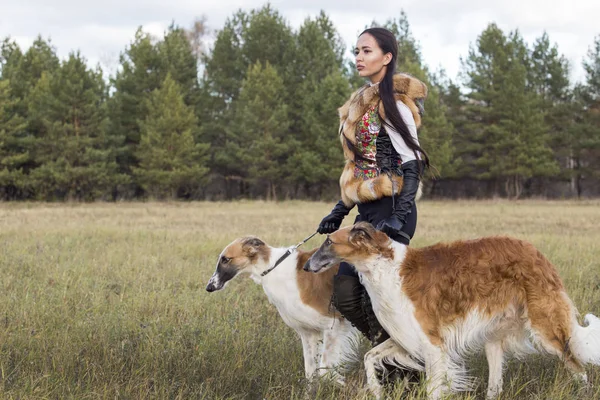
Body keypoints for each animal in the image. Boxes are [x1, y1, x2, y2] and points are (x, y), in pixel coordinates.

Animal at [204, 236, 358, 382]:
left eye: (226, 259)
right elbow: (310, 372)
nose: (209, 287)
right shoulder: (309, 331)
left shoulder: (334, 324)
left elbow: (324, 371)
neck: (273, 267)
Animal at [304, 223, 600, 398]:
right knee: (496, 384)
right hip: (493, 335)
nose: (306, 266)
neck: (386, 268)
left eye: (329, 242)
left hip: (545, 329)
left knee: (576, 364)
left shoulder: (433, 344)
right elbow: (369, 357)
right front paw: (376, 391)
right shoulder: (407, 335)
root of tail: (538, 254)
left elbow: (434, 388)